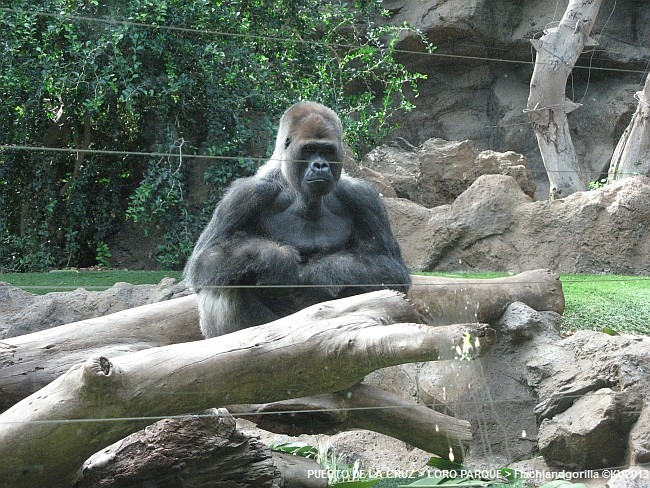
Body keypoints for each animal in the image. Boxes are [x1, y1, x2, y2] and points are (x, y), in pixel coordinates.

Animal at [182, 102, 408, 340]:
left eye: (327, 151)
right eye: (309, 149)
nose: (320, 166)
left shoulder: (364, 198)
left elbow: (390, 268)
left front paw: (315, 274)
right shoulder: (245, 195)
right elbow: (206, 258)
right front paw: (276, 259)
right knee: (222, 280)